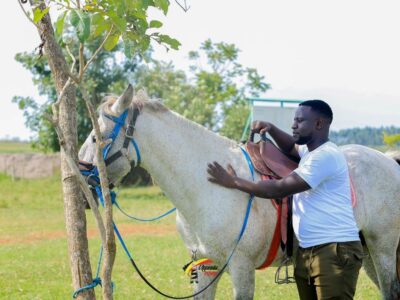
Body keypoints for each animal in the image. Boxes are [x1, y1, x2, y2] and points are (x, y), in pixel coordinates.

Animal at [79, 85, 400, 300]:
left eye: (98, 136)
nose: (82, 182)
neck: (204, 189)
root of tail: (389, 160)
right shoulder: (205, 268)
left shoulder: (241, 267)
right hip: (366, 254)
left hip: (382, 250)